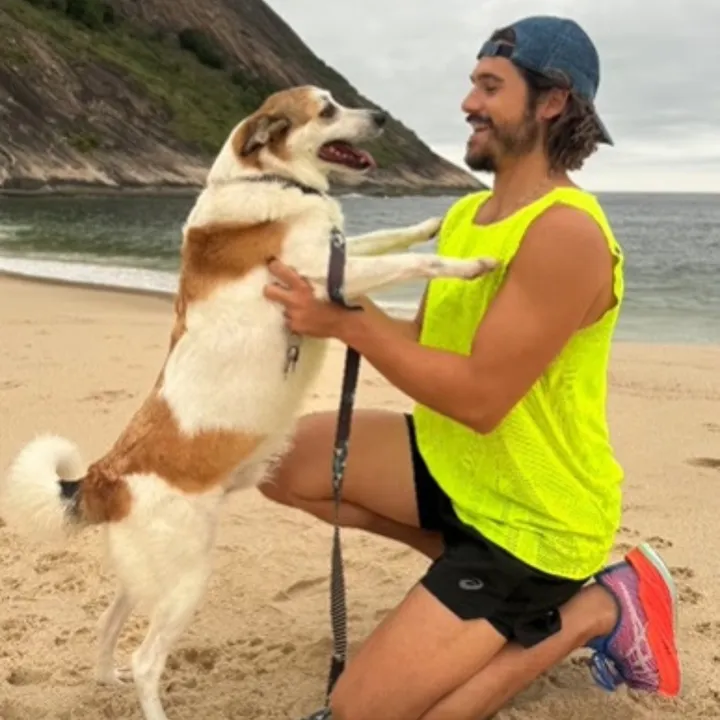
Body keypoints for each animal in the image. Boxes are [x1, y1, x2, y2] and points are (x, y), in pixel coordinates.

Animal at [0, 86, 498, 720]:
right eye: (327, 110)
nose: (382, 117)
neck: (270, 179)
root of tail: (102, 476)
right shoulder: (323, 276)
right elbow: (413, 261)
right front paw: (470, 265)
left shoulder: (340, 251)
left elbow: (388, 238)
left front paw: (433, 219)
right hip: (186, 580)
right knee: (147, 659)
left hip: (147, 577)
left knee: (109, 624)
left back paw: (106, 677)